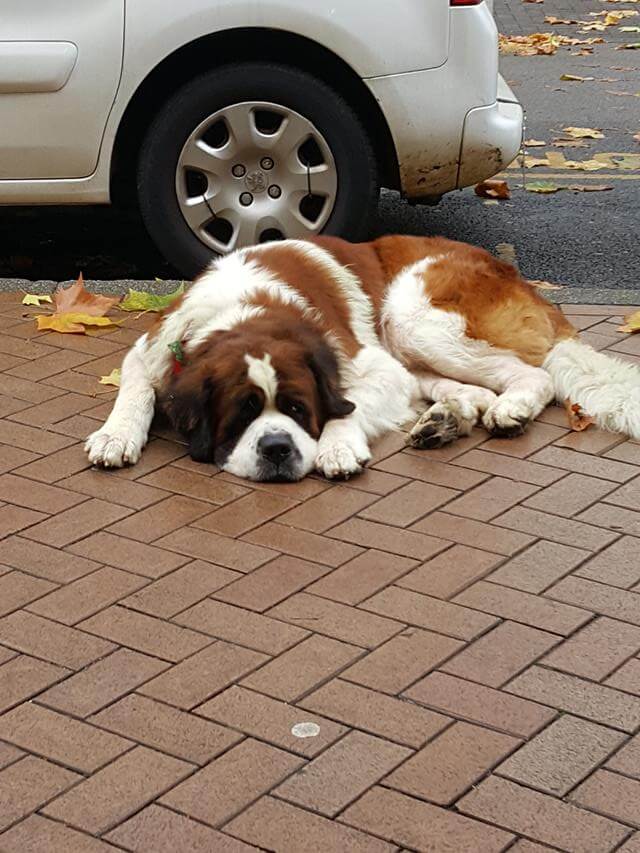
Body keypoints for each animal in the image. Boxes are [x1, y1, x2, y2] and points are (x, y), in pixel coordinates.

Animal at [87, 236, 640, 482]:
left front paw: (337, 446)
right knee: (465, 389)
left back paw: (511, 410)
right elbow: (134, 389)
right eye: (242, 413)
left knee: (531, 375)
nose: (276, 449)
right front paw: (115, 435)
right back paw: (448, 419)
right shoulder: (152, 348)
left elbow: (348, 405)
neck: (244, 311)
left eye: (298, 409)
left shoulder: (369, 365)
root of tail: (522, 280)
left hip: (412, 314)